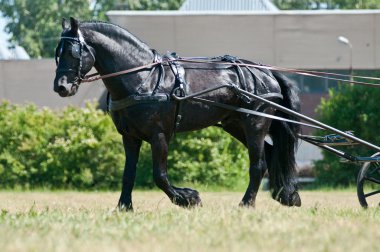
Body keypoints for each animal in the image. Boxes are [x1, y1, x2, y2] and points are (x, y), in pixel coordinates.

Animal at [54, 17, 302, 210]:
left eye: (73, 52)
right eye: (57, 53)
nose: (61, 87)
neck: (143, 77)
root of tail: (267, 73)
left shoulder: (159, 135)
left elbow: (160, 175)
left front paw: (188, 198)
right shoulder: (130, 137)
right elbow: (128, 174)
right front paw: (124, 207)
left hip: (255, 124)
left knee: (258, 165)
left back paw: (246, 204)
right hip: (235, 125)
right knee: (270, 155)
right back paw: (285, 195)